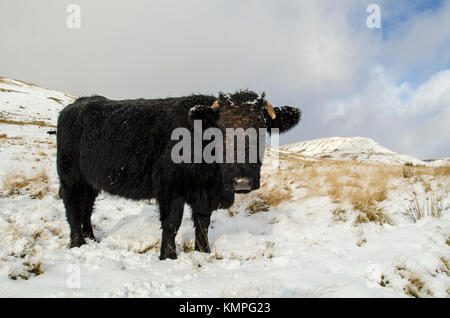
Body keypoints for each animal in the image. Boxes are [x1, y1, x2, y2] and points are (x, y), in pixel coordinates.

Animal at [58, 90, 300, 260]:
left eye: (263, 129)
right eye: (220, 129)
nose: (242, 182)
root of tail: (75, 105)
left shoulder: (204, 196)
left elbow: (202, 223)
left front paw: (203, 251)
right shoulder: (170, 190)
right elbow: (172, 223)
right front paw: (168, 256)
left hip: (90, 182)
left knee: (86, 208)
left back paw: (91, 238)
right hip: (71, 178)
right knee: (73, 208)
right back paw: (78, 242)